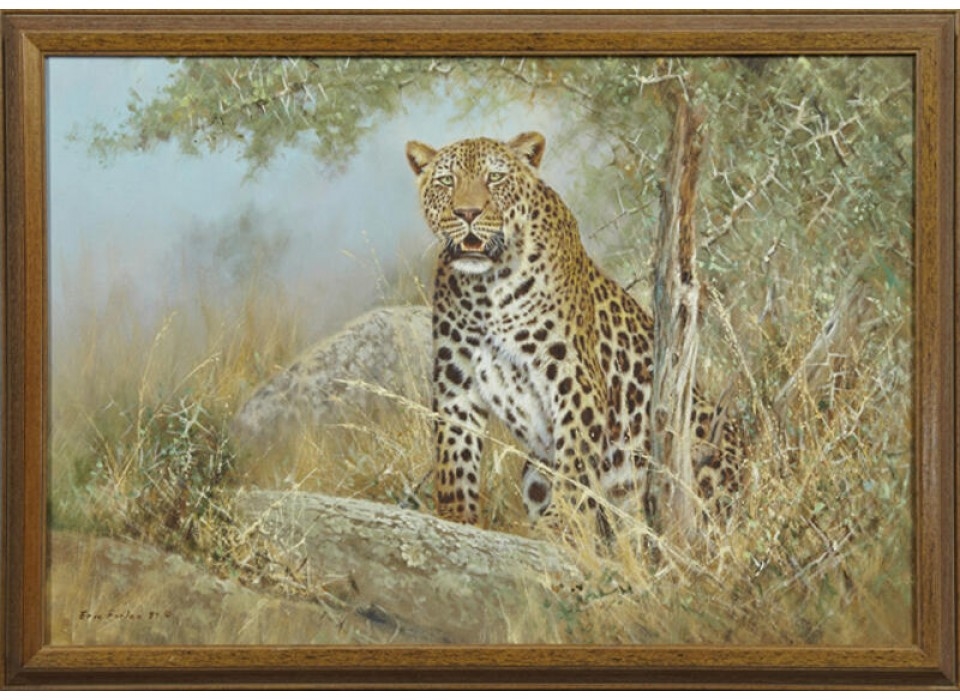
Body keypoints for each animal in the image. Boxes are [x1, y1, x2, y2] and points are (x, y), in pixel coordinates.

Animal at [405, 131, 741, 539]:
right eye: (445, 181)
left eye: (495, 178)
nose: (467, 213)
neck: (487, 286)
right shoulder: (456, 380)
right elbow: (454, 455)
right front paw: (456, 519)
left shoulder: (571, 373)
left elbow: (575, 462)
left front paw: (559, 524)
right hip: (534, 470)